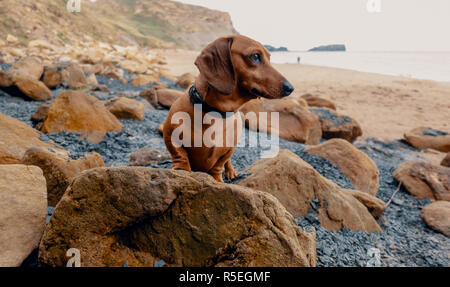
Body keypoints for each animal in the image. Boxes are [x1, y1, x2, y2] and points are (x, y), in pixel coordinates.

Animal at [163, 35, 294, 182]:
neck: (215, 113)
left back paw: (231, 172)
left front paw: (218, 180)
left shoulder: (228, 150)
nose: (290, 88)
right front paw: (182, 170)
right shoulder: (169, 135)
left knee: (228, 162)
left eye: (269, 58)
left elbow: (220, 164)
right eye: (255, 56)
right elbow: (179, 154)